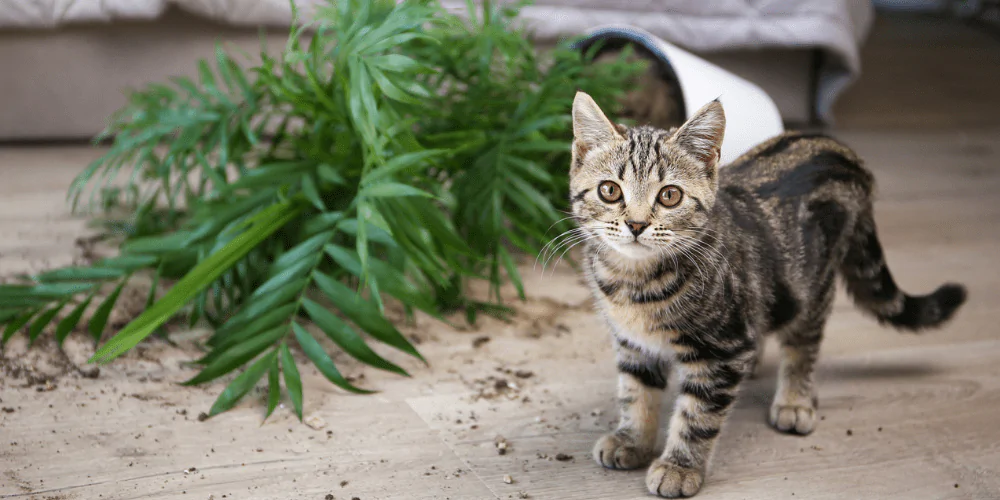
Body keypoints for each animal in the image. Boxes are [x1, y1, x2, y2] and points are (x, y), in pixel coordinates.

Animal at [572, 93, 968, 496]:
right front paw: (632, 439)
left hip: (813, 284)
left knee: (804, 344)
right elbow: (635, 391)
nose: (636, 224)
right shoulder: (633, 343)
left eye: (670, 195)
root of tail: (841, 150)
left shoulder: (720, 351)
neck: (635, 281)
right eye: (610, 190)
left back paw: (795, 399)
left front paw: (679, 466)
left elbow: (697, 413)